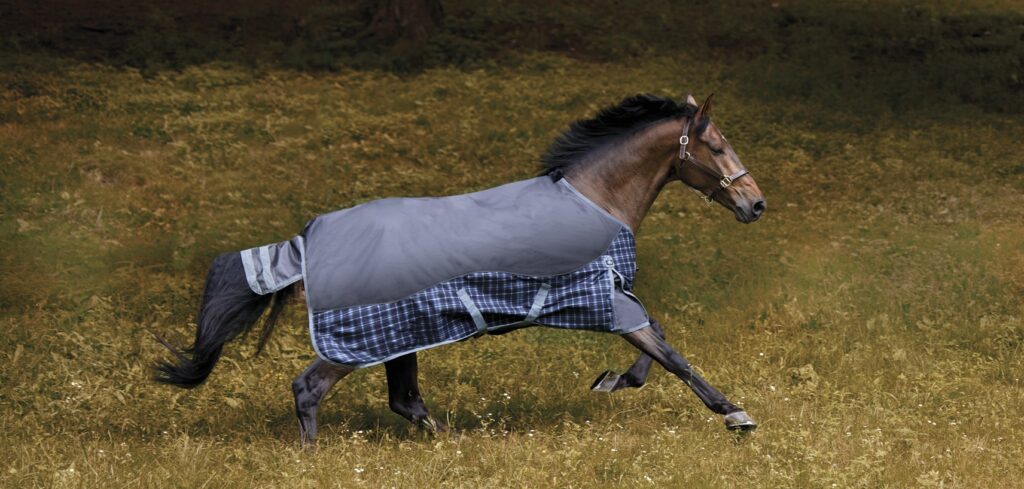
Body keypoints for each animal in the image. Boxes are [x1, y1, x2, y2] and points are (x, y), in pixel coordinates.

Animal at [153, 91, 770, 443]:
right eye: (717, 146)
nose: (756, 203)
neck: (594, 201)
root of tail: (311, 236)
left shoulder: (611, 298)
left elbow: (656, 345)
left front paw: (611, 381)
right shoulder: (602, 301)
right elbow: (673, 357)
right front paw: (735, 415)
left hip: (403, 335)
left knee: (404, 400)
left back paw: (452, 441)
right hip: (364, 338)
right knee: (309, 388)